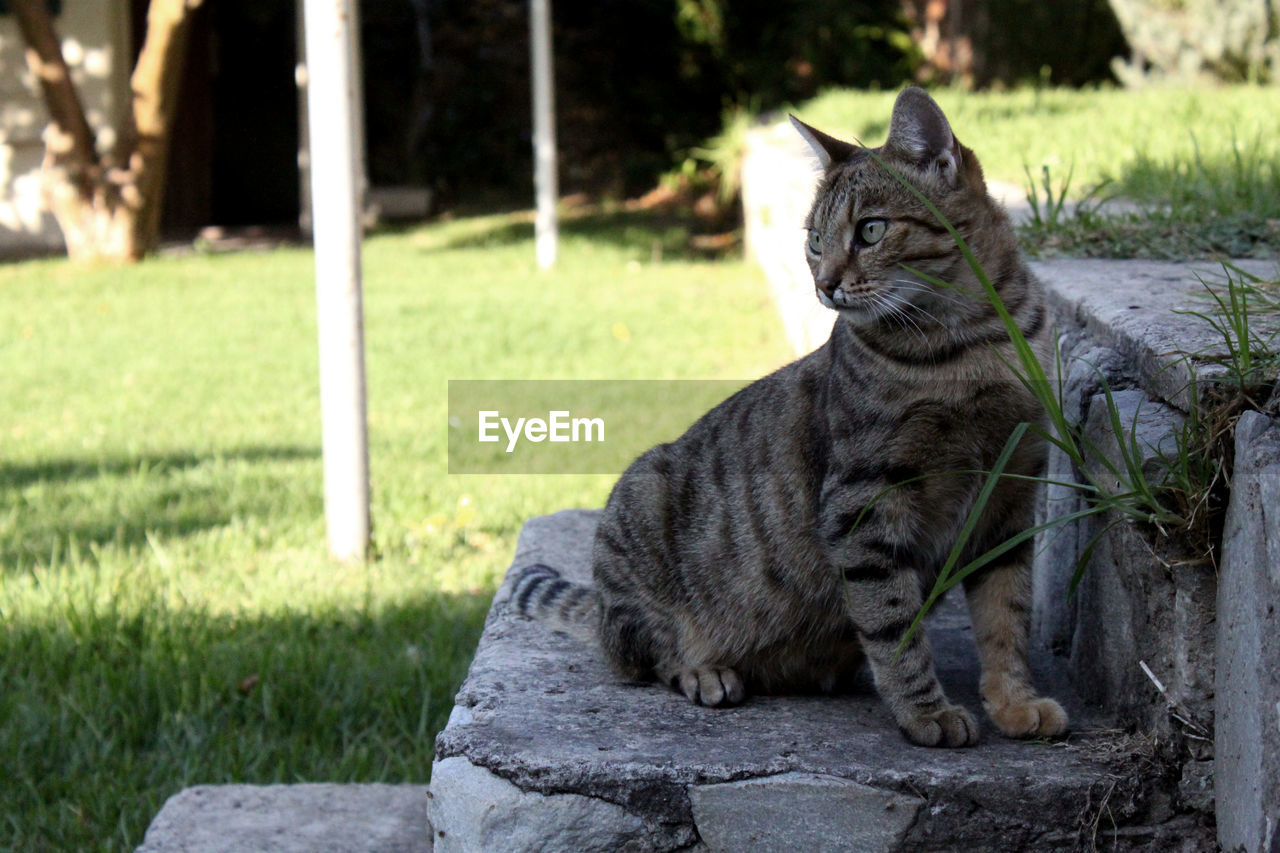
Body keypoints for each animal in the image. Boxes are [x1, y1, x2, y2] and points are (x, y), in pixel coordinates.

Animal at [514, 86, 1064, 742]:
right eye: (815, 242)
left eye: (871, 230)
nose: (824, 285)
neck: (973, 343)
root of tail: (598, 609)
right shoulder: (864, 504)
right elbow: (895, 626)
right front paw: (926, 713)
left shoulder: (1011, 496)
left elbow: (1006, 617)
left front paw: (1014, 703)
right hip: (639, 502)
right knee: (645, 653)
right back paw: (705, 670)